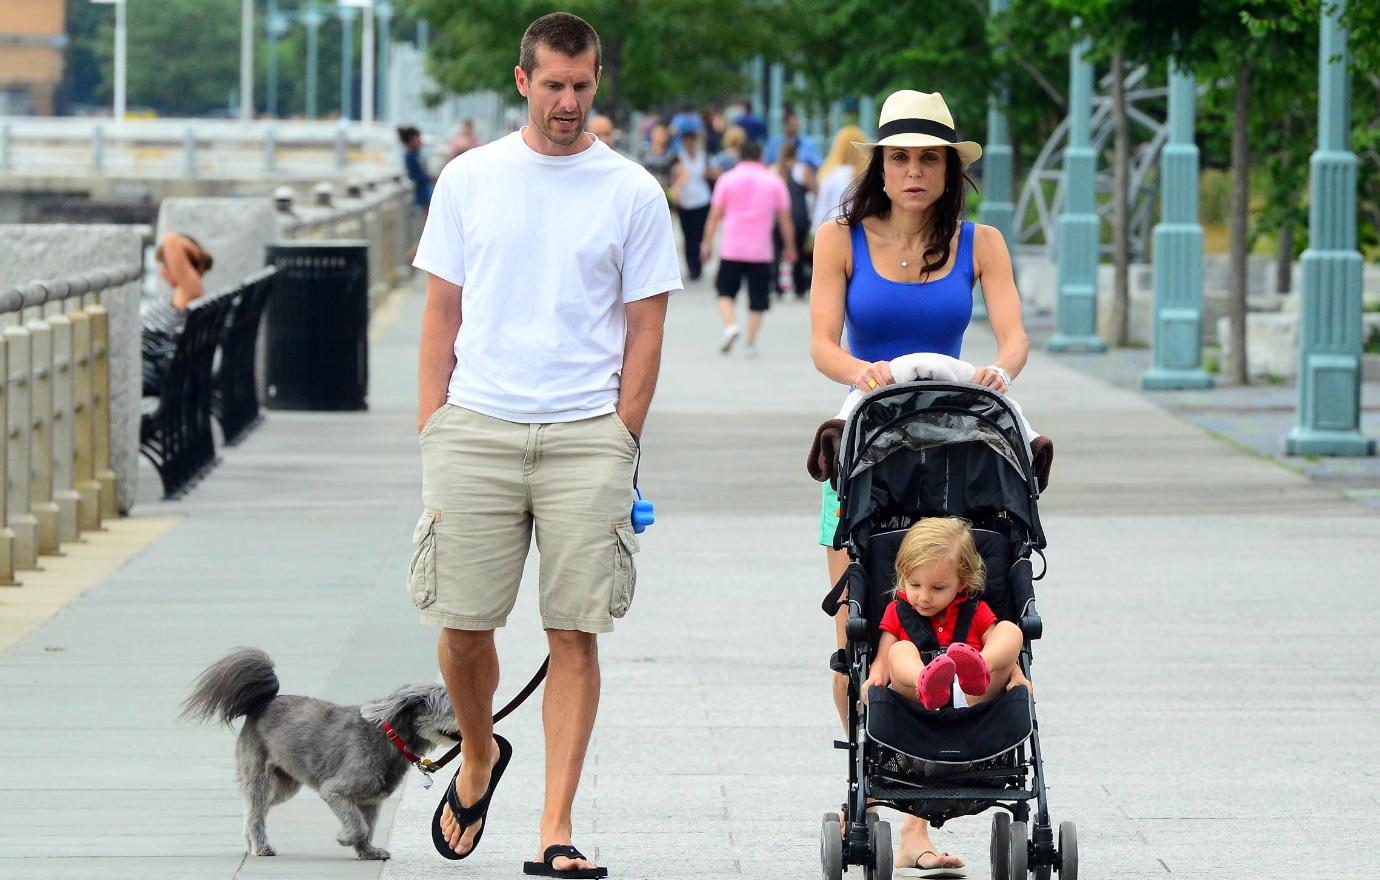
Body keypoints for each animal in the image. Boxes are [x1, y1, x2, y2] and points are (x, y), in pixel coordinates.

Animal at [183, 648, 458, 860]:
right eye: (454, 708)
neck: (392, 737)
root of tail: (261, 703)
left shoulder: (370, 801)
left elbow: (367, 827)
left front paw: (367, 852)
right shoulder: (335, 792)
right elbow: (357, 825)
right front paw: (345, 838)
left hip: (284, 785)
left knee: (253, 811)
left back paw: (251, 842)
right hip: (260, 775)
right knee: (255, 812)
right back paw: (261, 847)